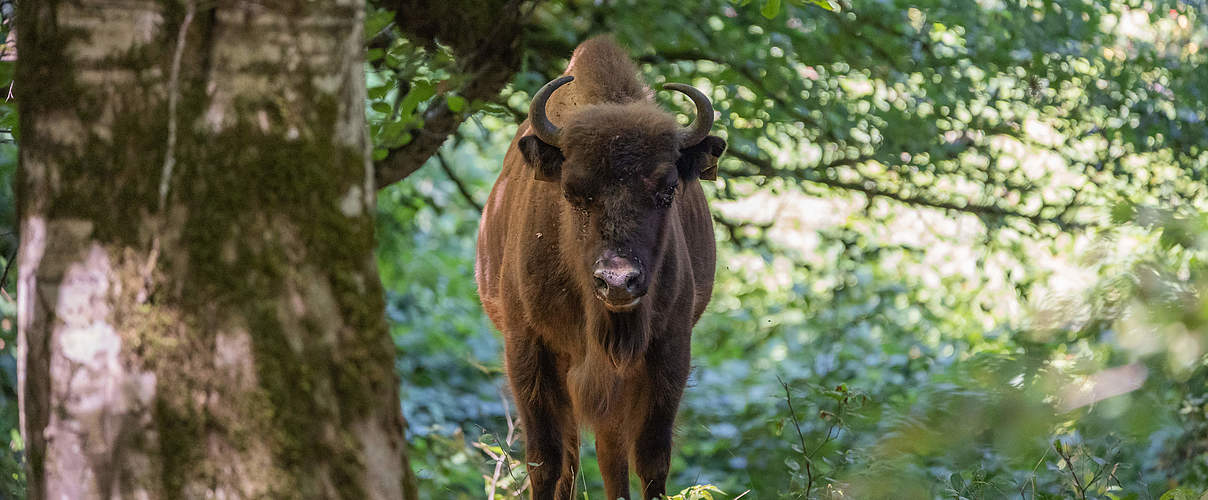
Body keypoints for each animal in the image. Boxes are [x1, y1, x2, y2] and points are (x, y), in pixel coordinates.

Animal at [475, 36, 724, 500]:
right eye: (573, 192)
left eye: (668, 190)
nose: (618, 281)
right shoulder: (528, 348)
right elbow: (546, 460)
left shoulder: (669, 350)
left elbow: (650, 458)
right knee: (573, 456)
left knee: (611, 454)